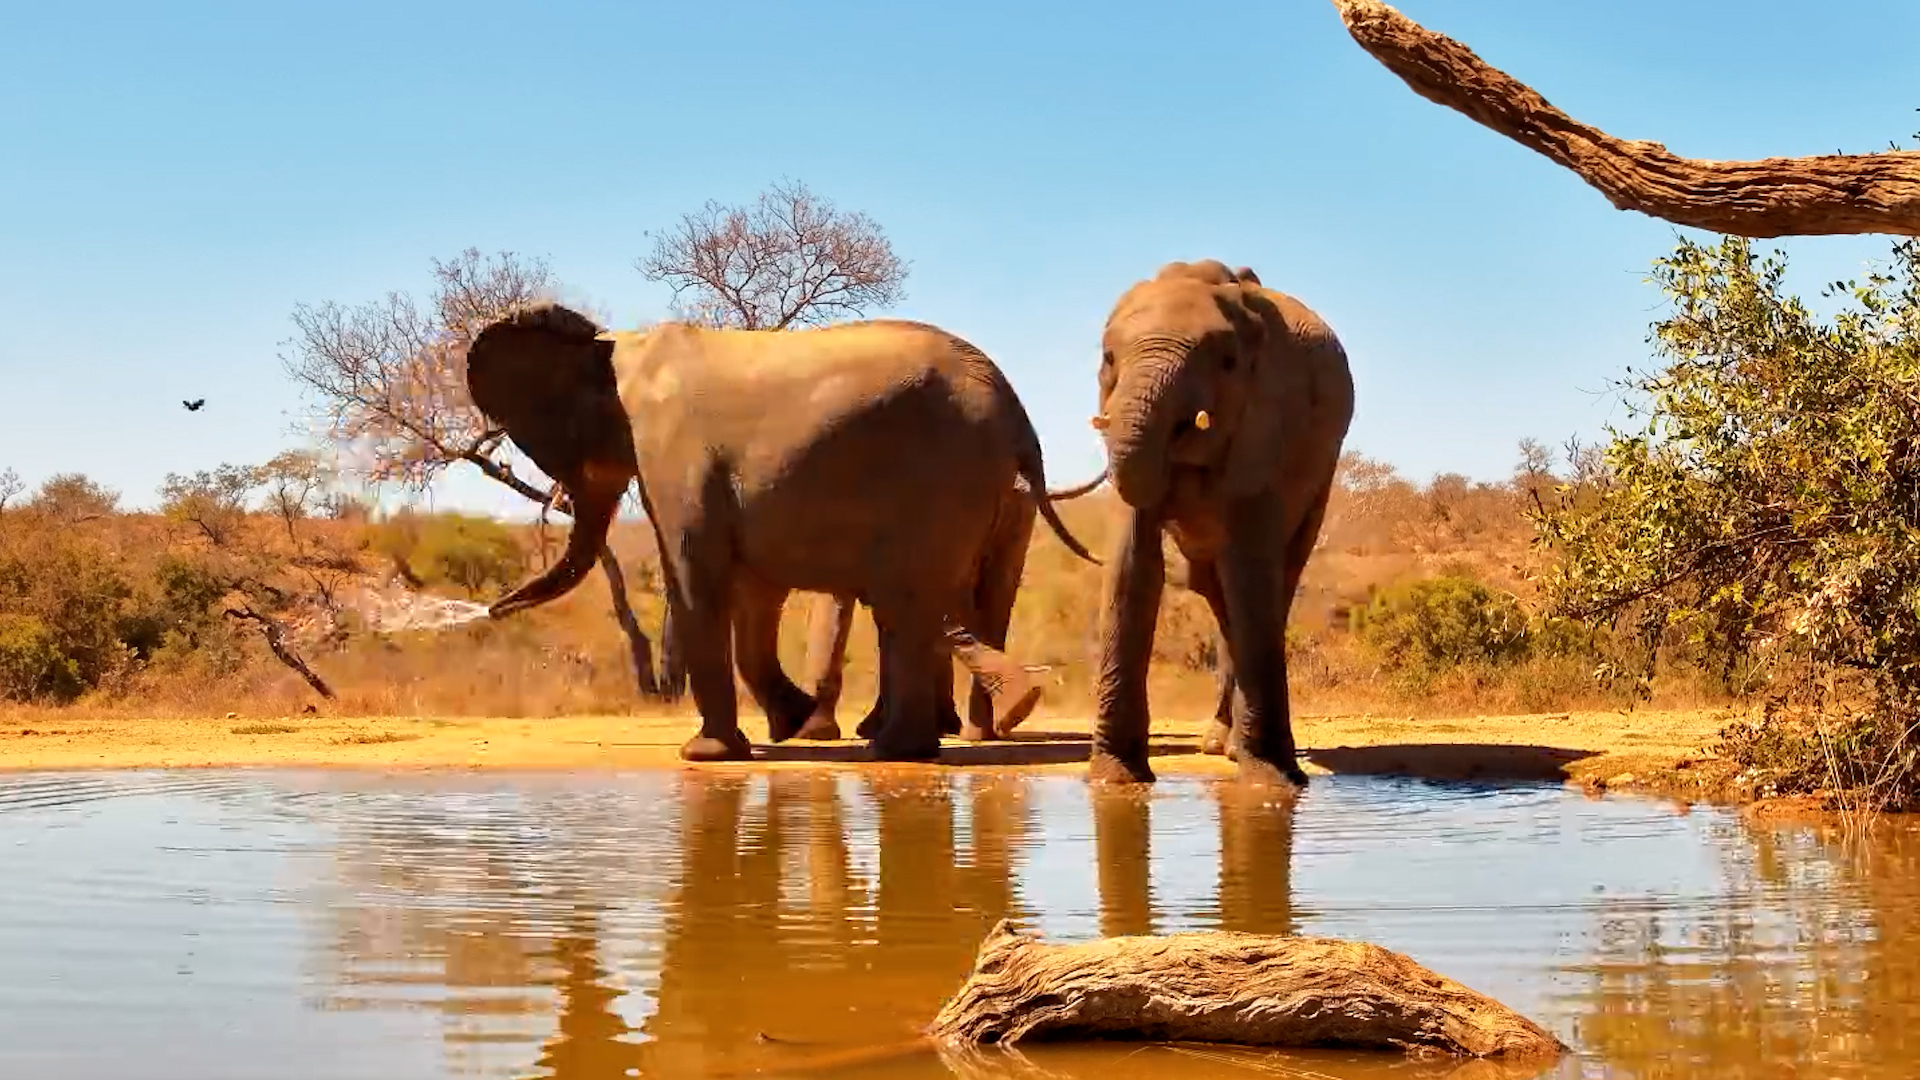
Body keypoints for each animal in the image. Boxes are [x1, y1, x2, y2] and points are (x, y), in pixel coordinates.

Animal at [467, 303, 1099, 763]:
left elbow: (695, 572)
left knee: (910, 600)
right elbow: (754, 595)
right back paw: (938, 736)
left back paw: (901, 749)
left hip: (941, 475)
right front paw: (788, 726)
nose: (490, 611)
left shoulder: (674, 453)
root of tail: (1017, 412)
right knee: (928, 605)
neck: (615, 346)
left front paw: (706, 755)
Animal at [1087, 259, 1354, 788]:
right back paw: (1219, 744)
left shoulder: (1268, 422)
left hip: (1322, 474)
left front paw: (1269, 782)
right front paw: (1116, 779)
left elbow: (1247, 568)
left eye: (1227, 363)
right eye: (1107, 358)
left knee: (1272, 580)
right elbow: (1133, 565)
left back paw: (1233, 750)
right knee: (1217, 593)